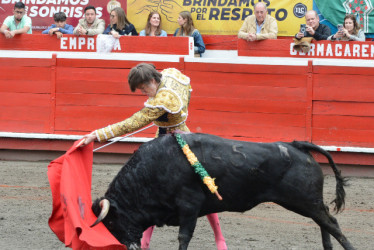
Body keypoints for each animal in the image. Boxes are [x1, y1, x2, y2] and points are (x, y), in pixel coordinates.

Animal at [92, 134, 356, 250]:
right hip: (307, 202)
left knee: (331, 222)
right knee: (323, 221)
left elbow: (183, 236)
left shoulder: (188, 205)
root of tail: (296, 145)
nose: (127, 247)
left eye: (112, 223)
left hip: (304, 200)